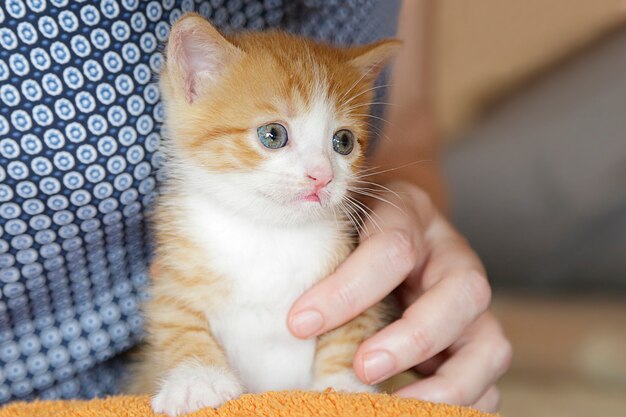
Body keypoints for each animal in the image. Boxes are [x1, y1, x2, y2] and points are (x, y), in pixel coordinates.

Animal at [127, 13, 400, 416]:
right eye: (273, 134)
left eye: (344, 142)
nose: (322, 176)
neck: (268, 231)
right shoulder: (174, 274)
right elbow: (177, 320)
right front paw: (197, 379)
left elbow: (350, 328)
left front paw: (344, 385)